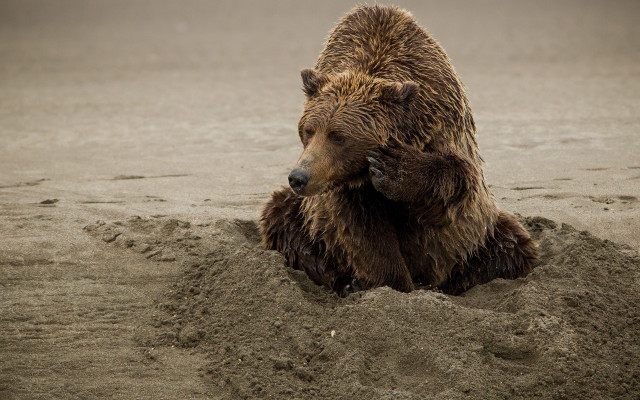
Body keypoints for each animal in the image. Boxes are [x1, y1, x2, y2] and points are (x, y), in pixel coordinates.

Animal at [260, 5, 537, 296]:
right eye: (308, 130)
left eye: (338, 137)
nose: (299, 177)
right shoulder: (347, 187)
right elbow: (363, 230)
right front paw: (392, 282)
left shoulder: (441, 120)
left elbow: (456, 180)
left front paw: (394, 168)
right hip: (306, 218)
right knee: (280, 215)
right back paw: (346, 281)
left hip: (479, 235)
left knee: (511, 247)